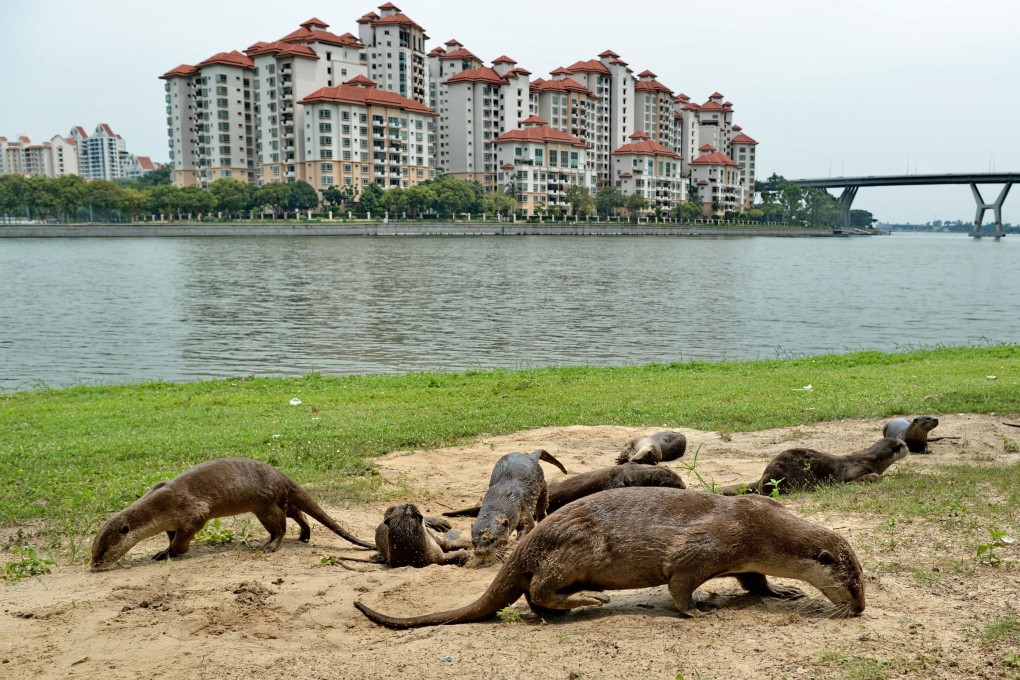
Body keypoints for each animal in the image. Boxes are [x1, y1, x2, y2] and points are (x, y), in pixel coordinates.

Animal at [91, 457, 374, 569]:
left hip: (265, 505)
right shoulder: (171, 520)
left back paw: (268, 546)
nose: (94, 565)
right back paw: (304, 536)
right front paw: (163, 551)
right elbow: (170, 536)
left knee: (280, 527)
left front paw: (176, 552)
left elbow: (184, 537)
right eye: (94, 550)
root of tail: (283, 476)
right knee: (298, 515)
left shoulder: (193, 511)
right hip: (277, 502)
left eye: (104, 550)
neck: (161, 506)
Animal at [354, 488, 865, 628]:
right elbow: (679, 585)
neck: (759, 528)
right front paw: (698, 610)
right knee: (538, 588)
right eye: (854, 583)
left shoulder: (747, 558)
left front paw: (781, 591)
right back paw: (587, 603)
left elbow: (755, 581)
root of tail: (529, 541)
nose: (860, 608)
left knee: (533, 598)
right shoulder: (706, 548)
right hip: (577, 548)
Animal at [720, 437, 909, 496]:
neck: (872, 460)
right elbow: (852, 478)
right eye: (902, 445)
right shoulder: (854, 468)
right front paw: (873, 477)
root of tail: (763, 475)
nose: (908, 445)